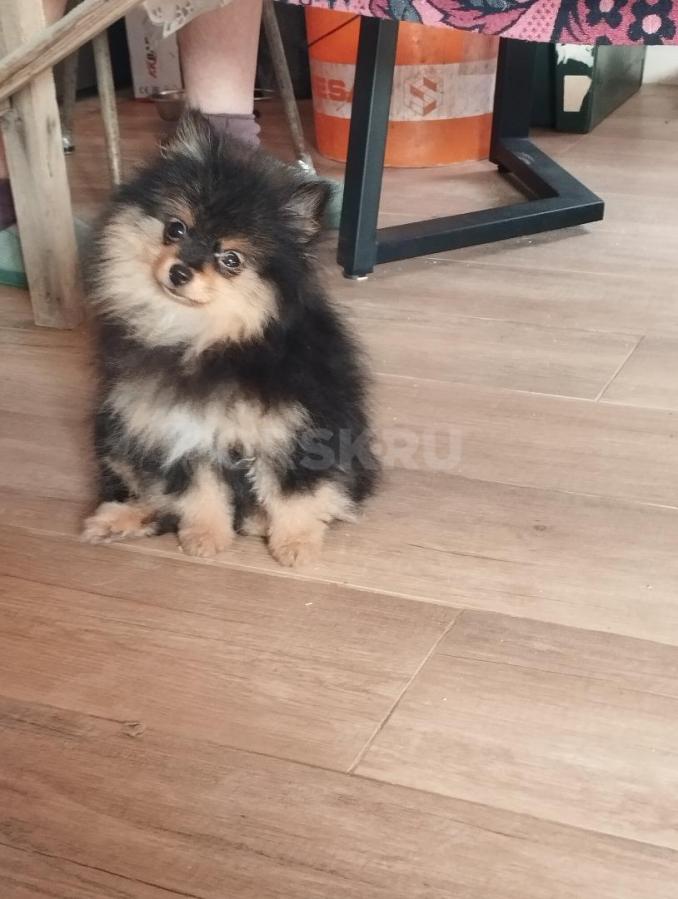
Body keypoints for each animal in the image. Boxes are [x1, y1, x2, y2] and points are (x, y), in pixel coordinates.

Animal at [82, 113, 378, 566]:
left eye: (231, 260)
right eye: (176, 229)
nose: (180, 271)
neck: (206, 338)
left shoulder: (297, 432)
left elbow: (294, 495)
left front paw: (296, 544)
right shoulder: (180, 433)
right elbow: (199, 493)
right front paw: (205, 536)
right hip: (114, 429)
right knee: (148, 494)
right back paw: (115, 519)